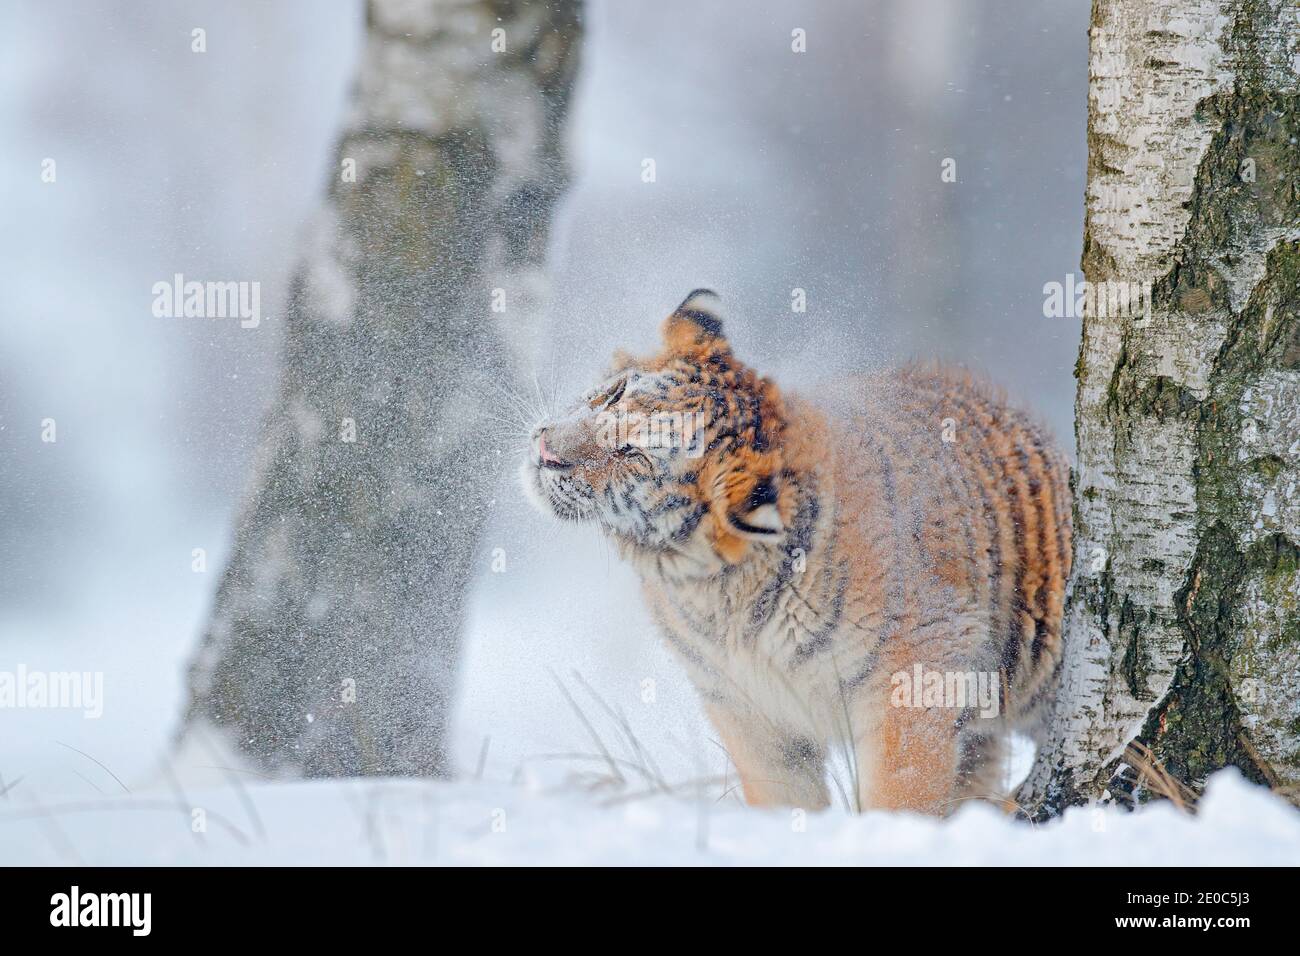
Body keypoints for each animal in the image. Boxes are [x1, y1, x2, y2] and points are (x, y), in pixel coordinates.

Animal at [522, 291, 1071, 816]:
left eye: (632, 454)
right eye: (613, 393)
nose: (545, 453)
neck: (719, 592)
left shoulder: (915, 679)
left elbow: (904, 794)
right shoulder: (746, 708)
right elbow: (784, 798)